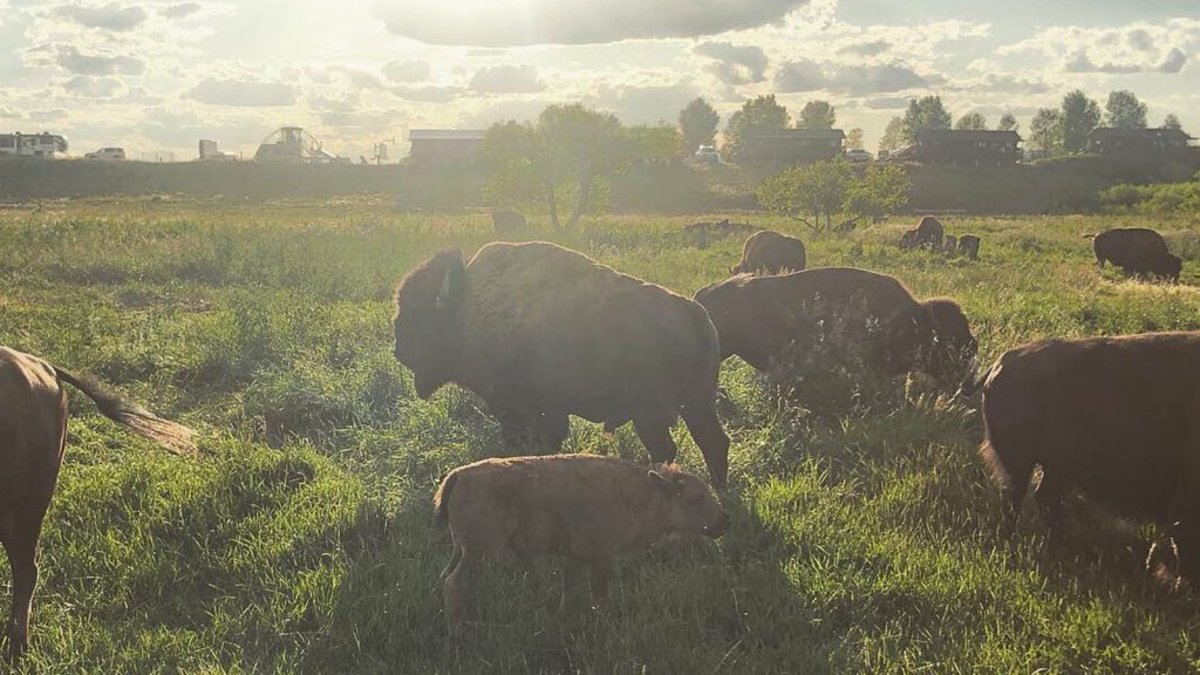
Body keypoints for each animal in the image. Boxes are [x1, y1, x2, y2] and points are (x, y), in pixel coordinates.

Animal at [393, 241, 731, 486]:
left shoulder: (514, 406)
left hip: (651, 414)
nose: (399, 349)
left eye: (416, 313)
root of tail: (697, 317)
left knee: (667, 449)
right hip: (696, 404)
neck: (467, 307)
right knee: (713, 442)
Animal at [434, 455, 726, 635]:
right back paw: (458, 633)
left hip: (462, 549)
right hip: (480, 551)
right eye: (696, 497)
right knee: (456, 583)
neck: (643, 495)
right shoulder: (602, 557)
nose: (724, 520)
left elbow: (572, 592)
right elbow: (600, 595)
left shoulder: (573, 558)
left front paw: (565, 619)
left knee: (445, 577)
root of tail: (459, 475)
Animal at [977, 332, 1200, 584]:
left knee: (1042, 497)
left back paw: (1063, 542)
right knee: (1016, 498)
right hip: (1022, 463)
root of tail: (999, 364)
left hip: (1056, 468)